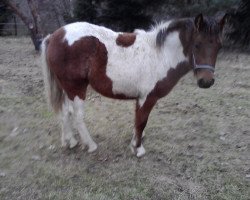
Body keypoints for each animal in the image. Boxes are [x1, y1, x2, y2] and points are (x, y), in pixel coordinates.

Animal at [41, 13, 229, 158]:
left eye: (219, 46)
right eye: (197, 44)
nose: (206, 81)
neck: (161, 55)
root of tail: (54, 36)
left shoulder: (141, 98)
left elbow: (138, 120)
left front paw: (135, 141)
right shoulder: (148, 97)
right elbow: (141, 121)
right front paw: (138, 149)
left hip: (67, 88)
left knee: (65, 111)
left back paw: (70, 141)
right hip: (76, 88)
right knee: (77, 115)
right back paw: (90, 145)